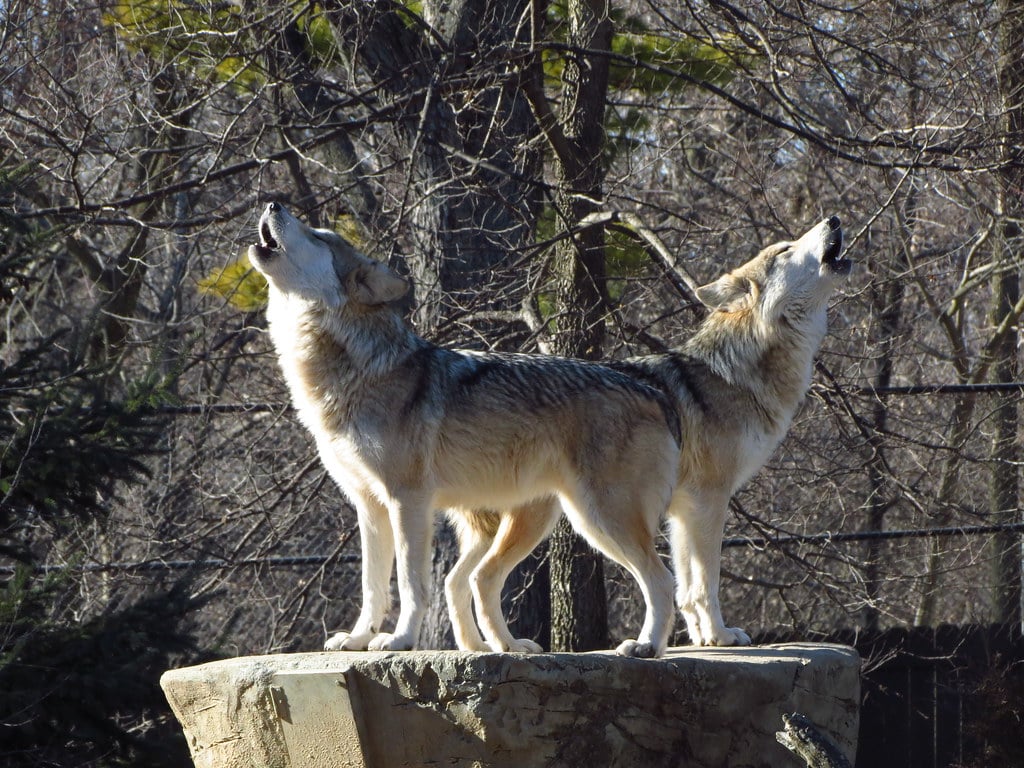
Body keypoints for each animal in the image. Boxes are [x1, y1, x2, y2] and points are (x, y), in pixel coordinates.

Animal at [247, 202, 684, 657]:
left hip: (598, 519)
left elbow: (410, 582)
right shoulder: (369, 506)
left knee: (660, 578)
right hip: (536, 520)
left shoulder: (407, 500)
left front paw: (400, 639)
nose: (273, 203)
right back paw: (505, 646)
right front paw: (358, 639)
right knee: (475, 579)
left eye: (320, 237)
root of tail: (654, 391)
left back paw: (645, 646)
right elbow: (372, 586)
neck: (357, 371)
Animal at [445, 216, 851, 649]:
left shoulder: (683, 511)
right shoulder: (709, 498)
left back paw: (476, 648)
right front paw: (721, 636)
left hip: (531, 523)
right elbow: (704, 581)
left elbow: (688, 586)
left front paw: (702, 639)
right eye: (785, 250)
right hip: (592, 519)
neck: (736, 370)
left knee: (455, 580)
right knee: (486, 577)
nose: (833, 219)